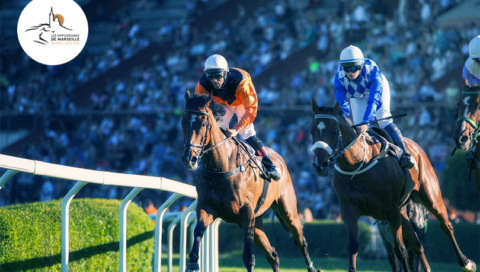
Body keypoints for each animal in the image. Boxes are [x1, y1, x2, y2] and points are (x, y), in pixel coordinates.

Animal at [182, 91, 324, 272]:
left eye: (203, 123)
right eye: (183, 121)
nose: (189, 159)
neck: (221, 167)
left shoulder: (246, 212)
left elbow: (248, 257)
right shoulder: (206, 207)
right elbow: (198, 230)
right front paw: (192, 262)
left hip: (287, 210)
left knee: (300, 240)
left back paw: (312, 267)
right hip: (256, 223)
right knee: (273, 254)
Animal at [312, 98, 476, 272]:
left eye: (334, 131)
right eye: (312, 131)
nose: (320, 165)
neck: (357, 165)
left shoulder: (390, 210)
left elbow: (400, 250)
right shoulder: (349, 209)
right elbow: (353, 246)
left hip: (430, 198)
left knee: (446, 226)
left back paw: (466, 262)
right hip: (402, 211)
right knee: (417, 244)